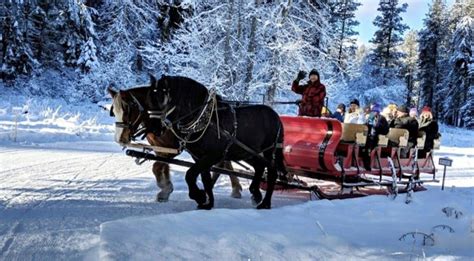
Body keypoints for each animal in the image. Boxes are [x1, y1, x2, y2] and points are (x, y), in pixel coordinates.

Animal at [145, 74, 286, 208]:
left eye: (163, 98)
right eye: (149, 98)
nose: (155, 128)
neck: (204, 120)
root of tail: (276, 116)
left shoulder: (212, 155)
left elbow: (190, 174)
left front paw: (200, 196)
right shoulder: (199, 157)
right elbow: (205, 179)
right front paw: (207, 204)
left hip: (269, 151)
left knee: (272, 172)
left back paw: (265, 203)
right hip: (247, 152)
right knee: (259, 166)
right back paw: (255, 194)